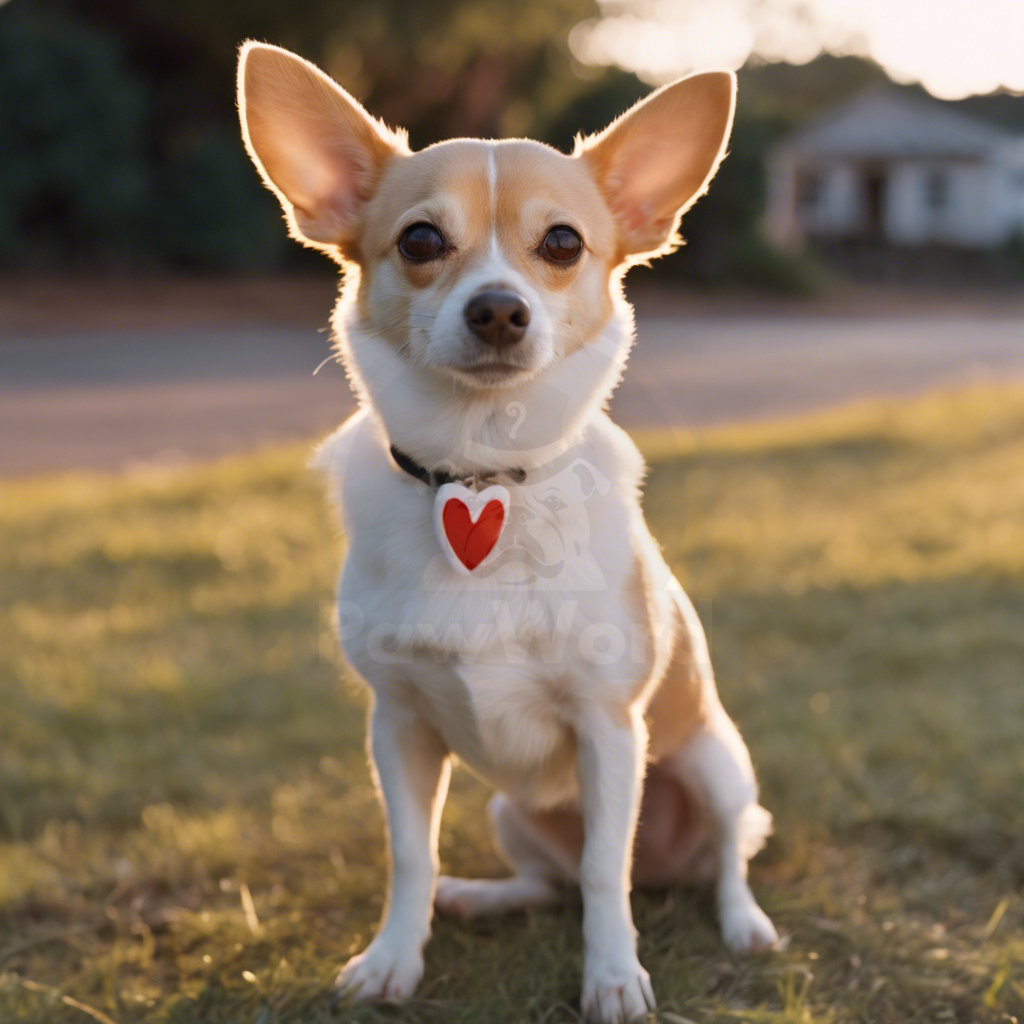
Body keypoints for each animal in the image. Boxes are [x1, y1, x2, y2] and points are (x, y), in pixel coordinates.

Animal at [234, 46, 774, 1024]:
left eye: (562, 243)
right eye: (419, 241)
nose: (497, 309)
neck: (481, 474)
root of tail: (668, 874)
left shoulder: (610, 730)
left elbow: (603, 872)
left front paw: (612, 979)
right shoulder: (399, 727)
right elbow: (411, 854)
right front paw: (392, 961)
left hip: (717, 763)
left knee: (716, 859)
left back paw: (742, 922)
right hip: (509, 813)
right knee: (547, 883)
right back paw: (480, 897)